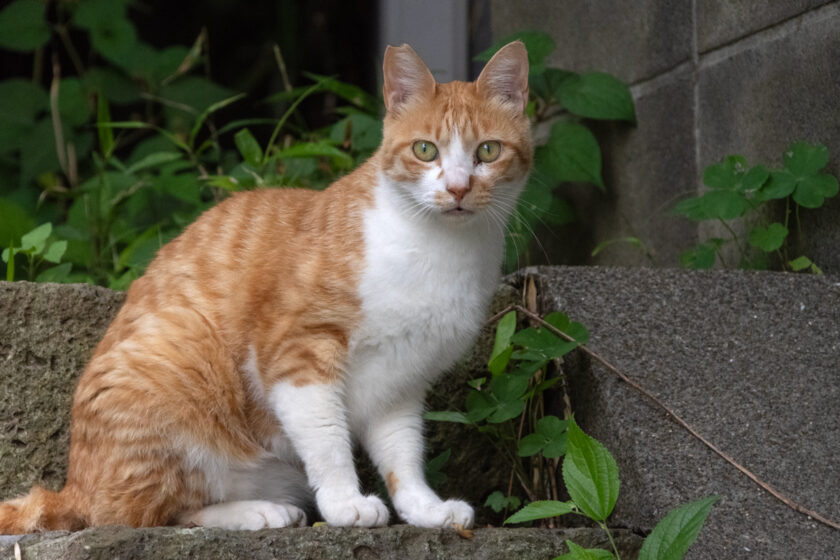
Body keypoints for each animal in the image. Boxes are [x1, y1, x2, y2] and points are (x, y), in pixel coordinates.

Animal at [0, 40, 532, 532]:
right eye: (426, 150)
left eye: (487, 151)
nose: (459, 188)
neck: (438, 251)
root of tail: (72, 486)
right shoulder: (297, 353)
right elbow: (327, 439)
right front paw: (344, 503)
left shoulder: (401, 383)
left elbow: (403, 455)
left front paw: (425, 509)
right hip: (181, 351)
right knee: (144, 512)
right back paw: (258, 511)